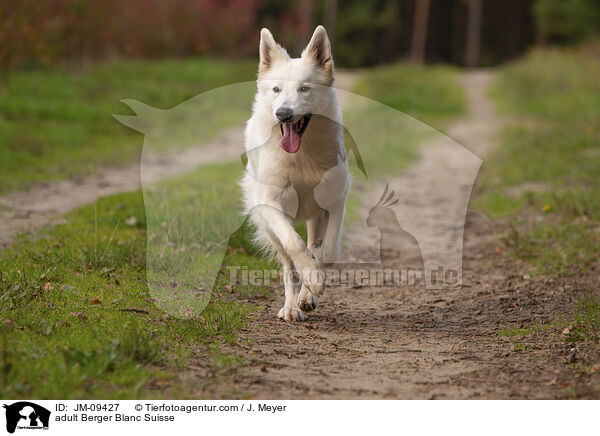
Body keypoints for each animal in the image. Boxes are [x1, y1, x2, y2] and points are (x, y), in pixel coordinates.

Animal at [240, 25, 350, 322]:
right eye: (276, 89)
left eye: (304, 89)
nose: (283, 114)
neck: (301, 156)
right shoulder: (271, 204)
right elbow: (295, 244)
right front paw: (311, 277)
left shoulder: (335, 200)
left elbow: (328, 250)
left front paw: (313, 284)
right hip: (269, 224)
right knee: (288, 263)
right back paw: (291, 306)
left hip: (314, 213)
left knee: (314, 241)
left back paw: (305, 297)